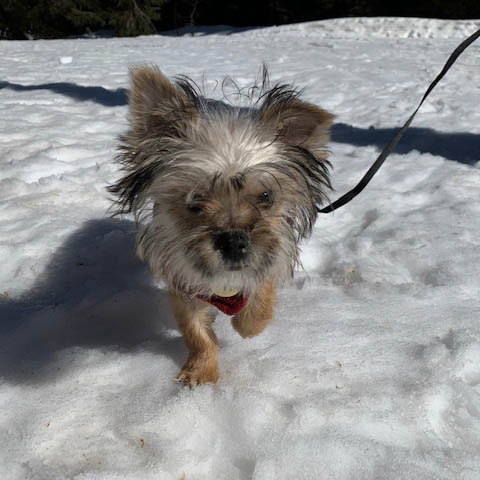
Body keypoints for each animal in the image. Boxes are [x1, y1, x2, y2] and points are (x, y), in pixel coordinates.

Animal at [109, 65, 334, 386]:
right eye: (194, 200)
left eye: (266, 196)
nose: (233, 242)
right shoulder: (183, 280)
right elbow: (196, 332)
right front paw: (200, 372)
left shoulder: (270, 256)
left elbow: (260, 298)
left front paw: (249, 325)